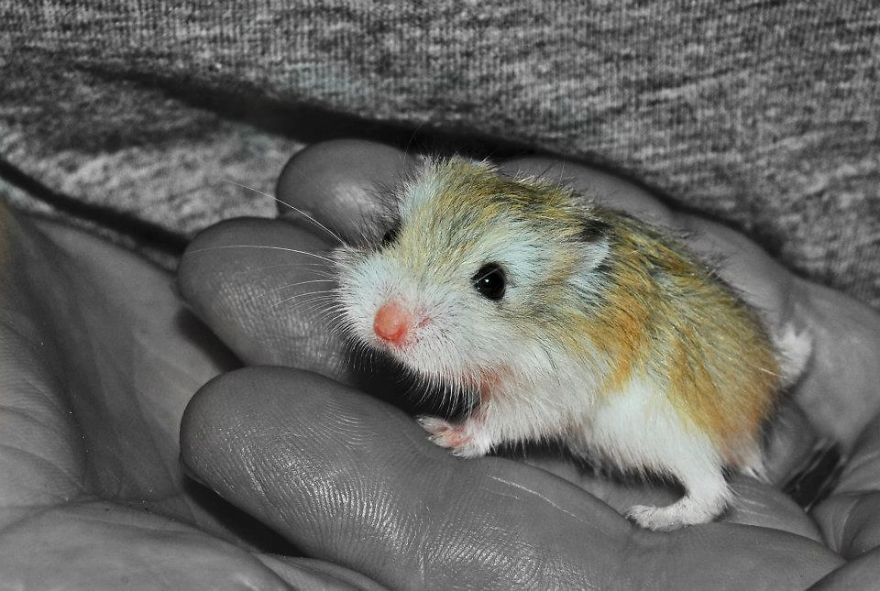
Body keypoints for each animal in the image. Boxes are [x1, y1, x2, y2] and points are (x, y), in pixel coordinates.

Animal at [333, 156, 811, 530]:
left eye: (492, 283)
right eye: (389, 234)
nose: (385, 327)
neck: (542, 324)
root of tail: (769, 379)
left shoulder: (545, 395)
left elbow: (494, 421)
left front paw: (444, 432)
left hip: (679, 440)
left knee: (713, 494)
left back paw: (648, 516)